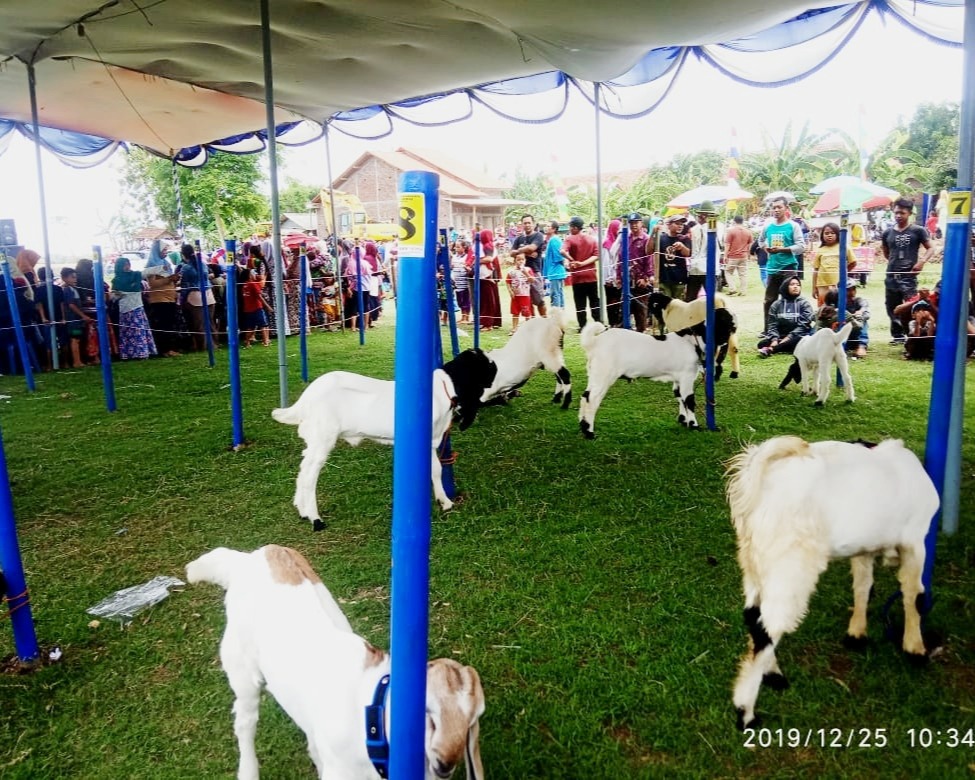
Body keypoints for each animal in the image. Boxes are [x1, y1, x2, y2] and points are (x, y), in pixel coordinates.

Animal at [186, 544, 484, 780]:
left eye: (473, 719)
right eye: (428, 713)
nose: (445, 764)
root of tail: (250, 558)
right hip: (242, 673)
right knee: (245, 722)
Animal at [274, 352, 500, 532]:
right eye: (484, 363)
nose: (497, 367)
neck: (443, 388)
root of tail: (304, 401)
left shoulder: (430, 442)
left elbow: (436, 470)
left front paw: (444, 502)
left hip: (313, 439)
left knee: (303, 467)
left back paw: (302, 511)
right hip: (323, 437)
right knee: (310, 474)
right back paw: (315, 519)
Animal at [576, 320, 704, 436]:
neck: (689, 341)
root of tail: (594, 342)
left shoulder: (678, 379)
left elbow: (679, 397)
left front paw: (683, 420)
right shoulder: (687, 376)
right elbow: (689, 400)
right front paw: (694, 425)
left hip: (594, 375)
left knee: (585, 397)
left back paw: (584, 428)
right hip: (604, 375)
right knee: (592, 400)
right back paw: (589, 432)